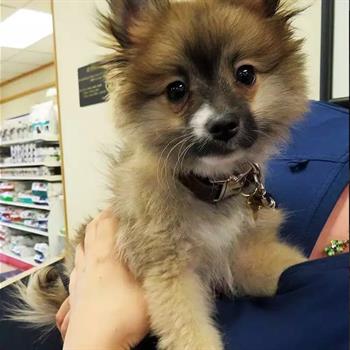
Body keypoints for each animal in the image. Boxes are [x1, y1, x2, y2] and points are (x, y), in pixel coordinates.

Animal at [10, 0, 308, 350]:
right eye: (176, 90)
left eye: (245, 74)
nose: (222, 125)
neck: (206, 185)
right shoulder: (170, 271)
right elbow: (190, 332)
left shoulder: (243, 254)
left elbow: (287, 266)